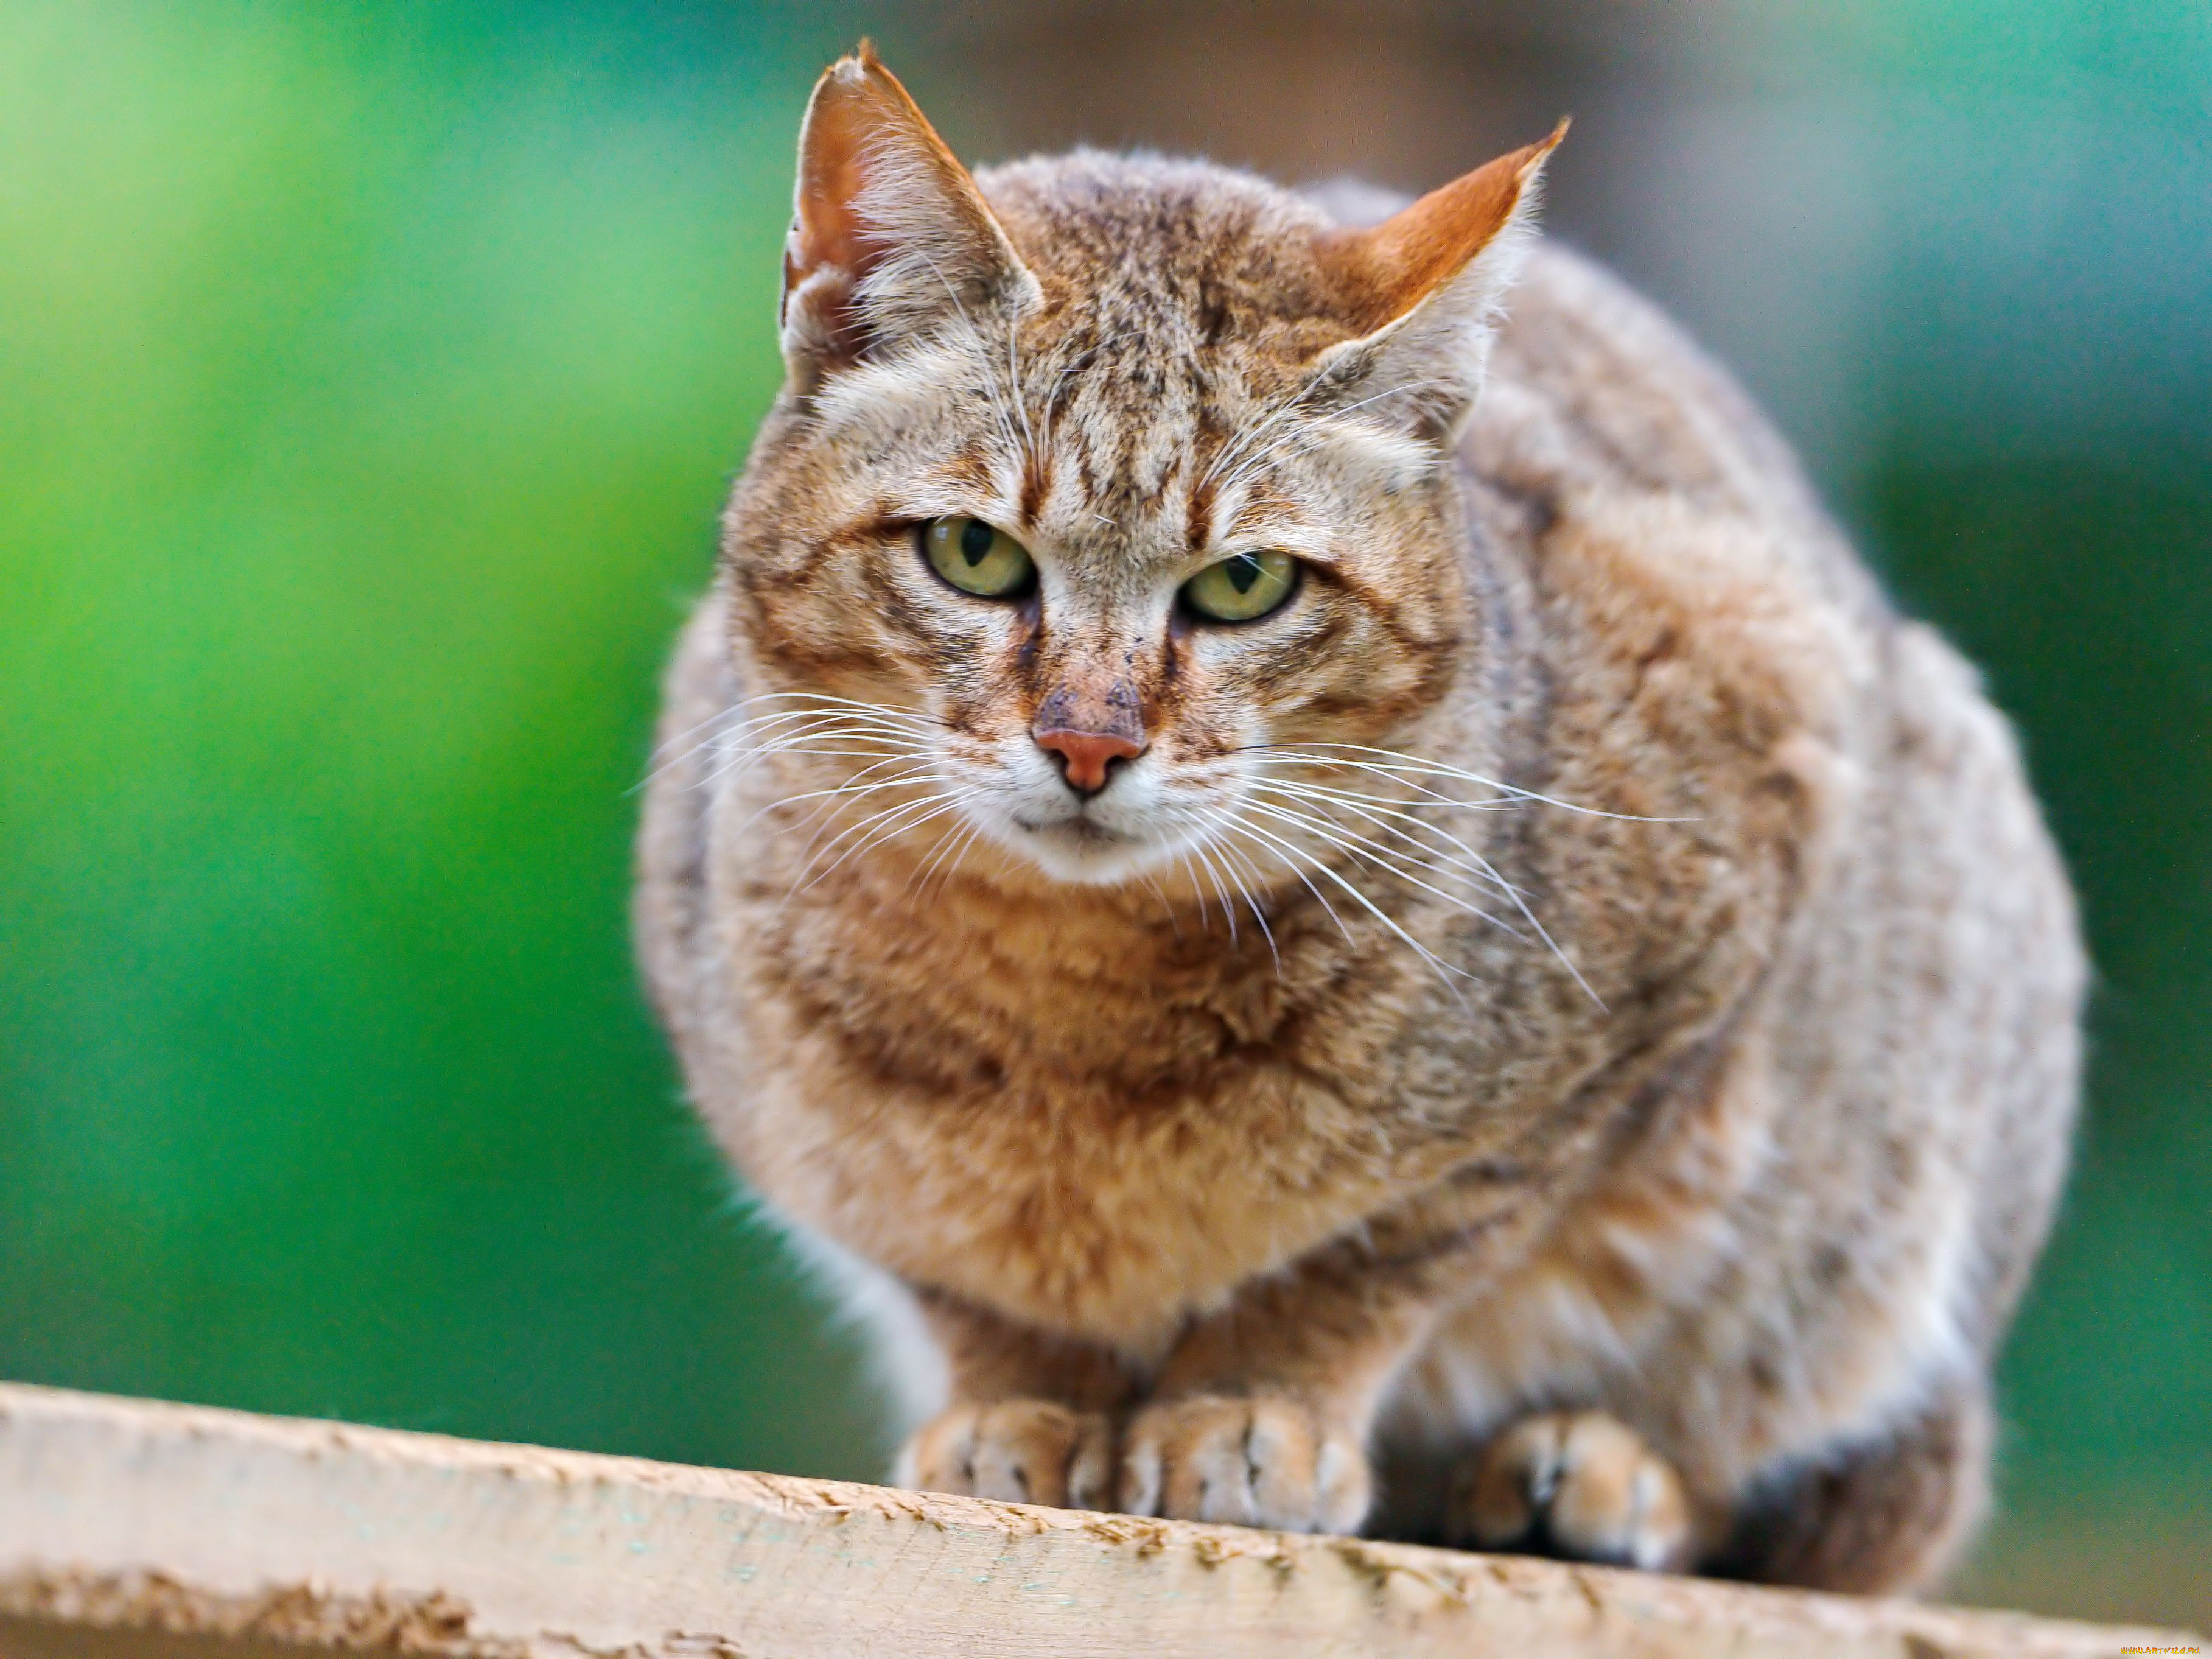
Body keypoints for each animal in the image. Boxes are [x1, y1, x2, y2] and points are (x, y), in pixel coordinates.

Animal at [632, 42, 2079, 1601]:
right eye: (973, 554)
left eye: (1243, 585)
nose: (1089, 741)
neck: (1070, 1021)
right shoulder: (794, 1116)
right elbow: (962, 1277)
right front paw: (1021, 1398)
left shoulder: (1711, 877)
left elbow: (1386, 1245)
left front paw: (1247, 1400)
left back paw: (1598, 1474)